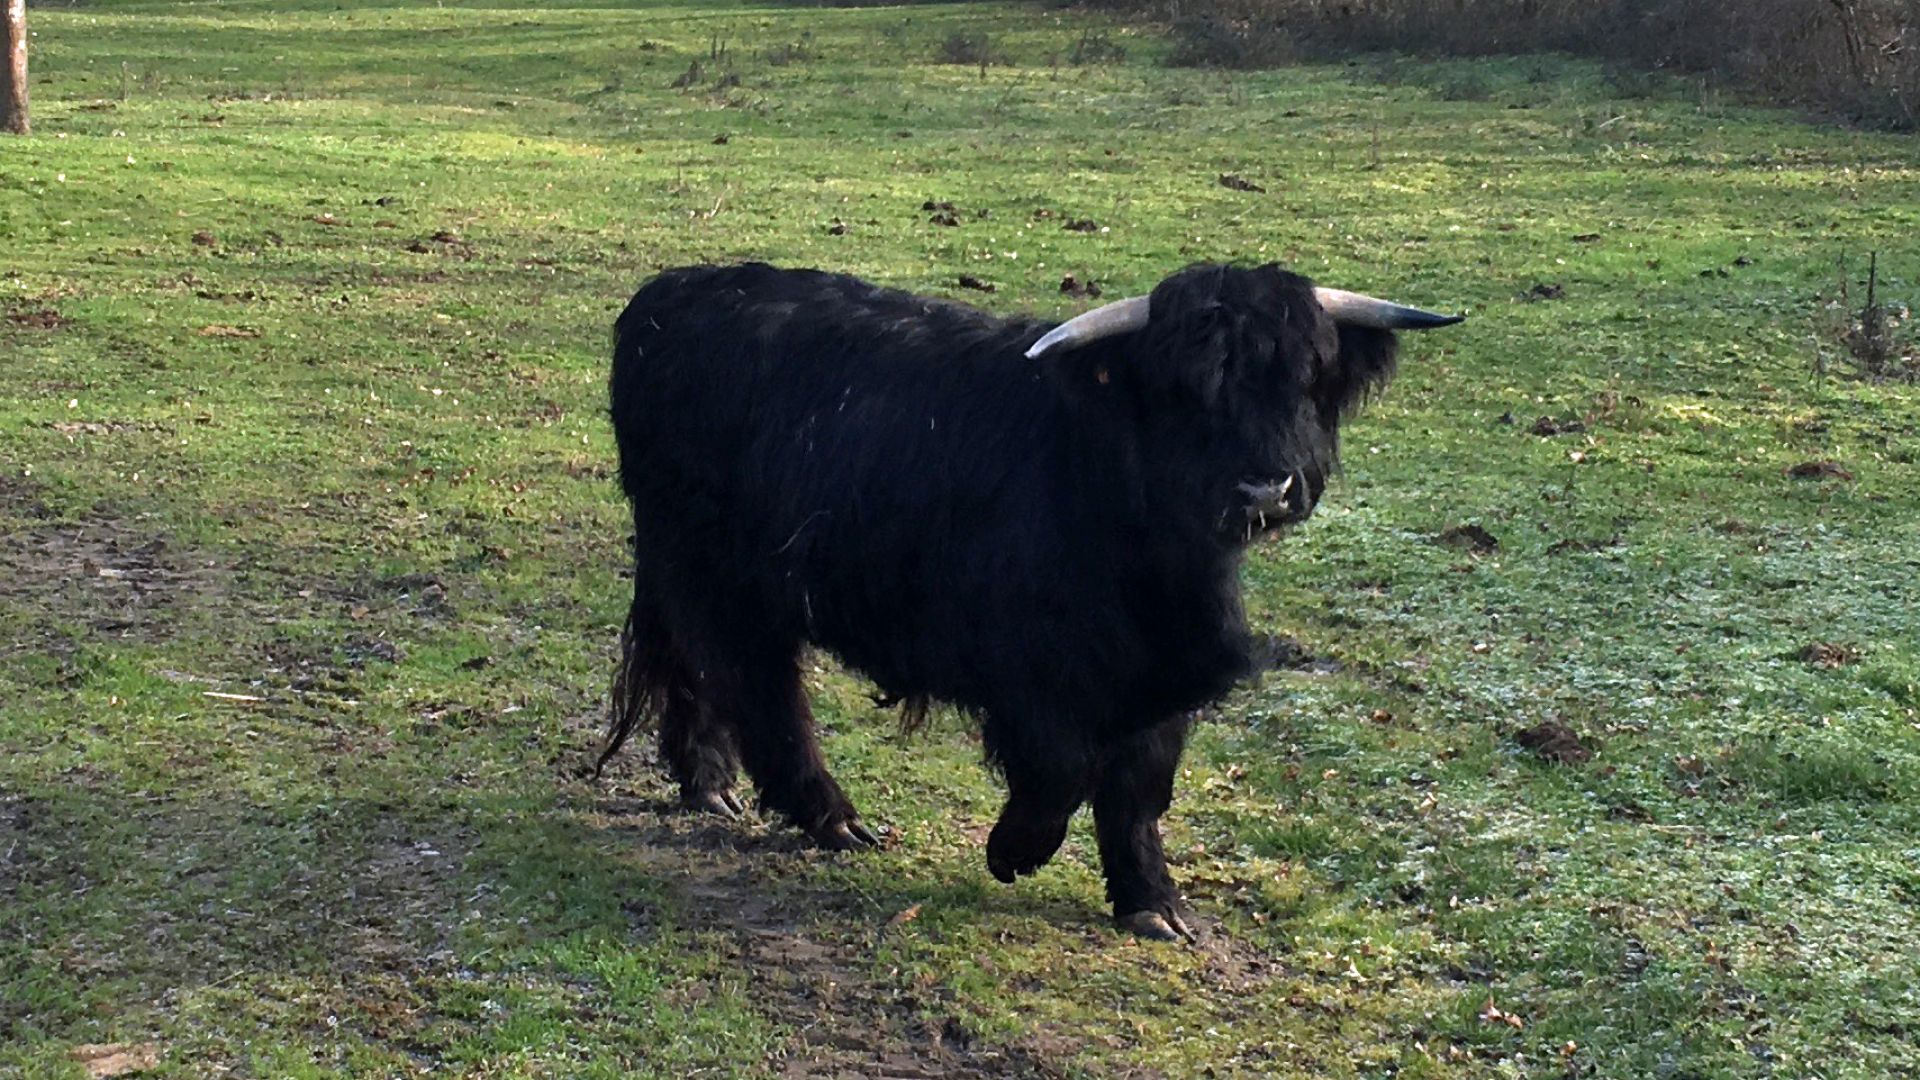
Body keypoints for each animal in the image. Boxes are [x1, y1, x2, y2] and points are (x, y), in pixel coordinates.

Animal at [606, 259, 1459, 933]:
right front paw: (1013, 849)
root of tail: (674, 291)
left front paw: (1153, 904)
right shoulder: (1023, 665)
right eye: (1185, 390)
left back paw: (708, 783)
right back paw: (829, 815)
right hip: (720, 575)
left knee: (693, 665)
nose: (1265, 488)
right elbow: (1062, 768)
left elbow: (1139, 785)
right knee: (758, 687)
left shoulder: (1159, 673)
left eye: (1308, 377)